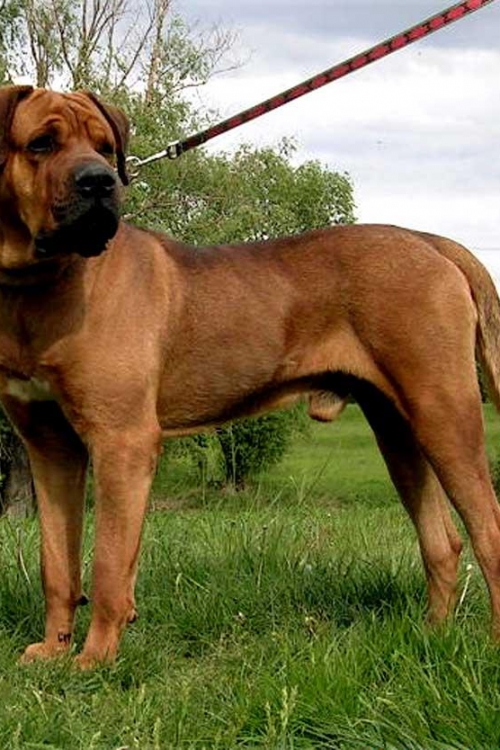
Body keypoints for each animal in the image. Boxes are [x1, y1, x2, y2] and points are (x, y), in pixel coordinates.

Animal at [1, 85, 500, 668]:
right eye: (41, 143)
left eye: (105, 147)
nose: (101, 181)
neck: (38, 284)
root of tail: (431, 240)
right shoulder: (48, 446)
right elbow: (56, 562)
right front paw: (53, 653)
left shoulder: (121, 441)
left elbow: (107, 566)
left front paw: (94, 661)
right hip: (396, 426)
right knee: (442, 540)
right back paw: (432, 637)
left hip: (444, 411)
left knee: (488, 530)